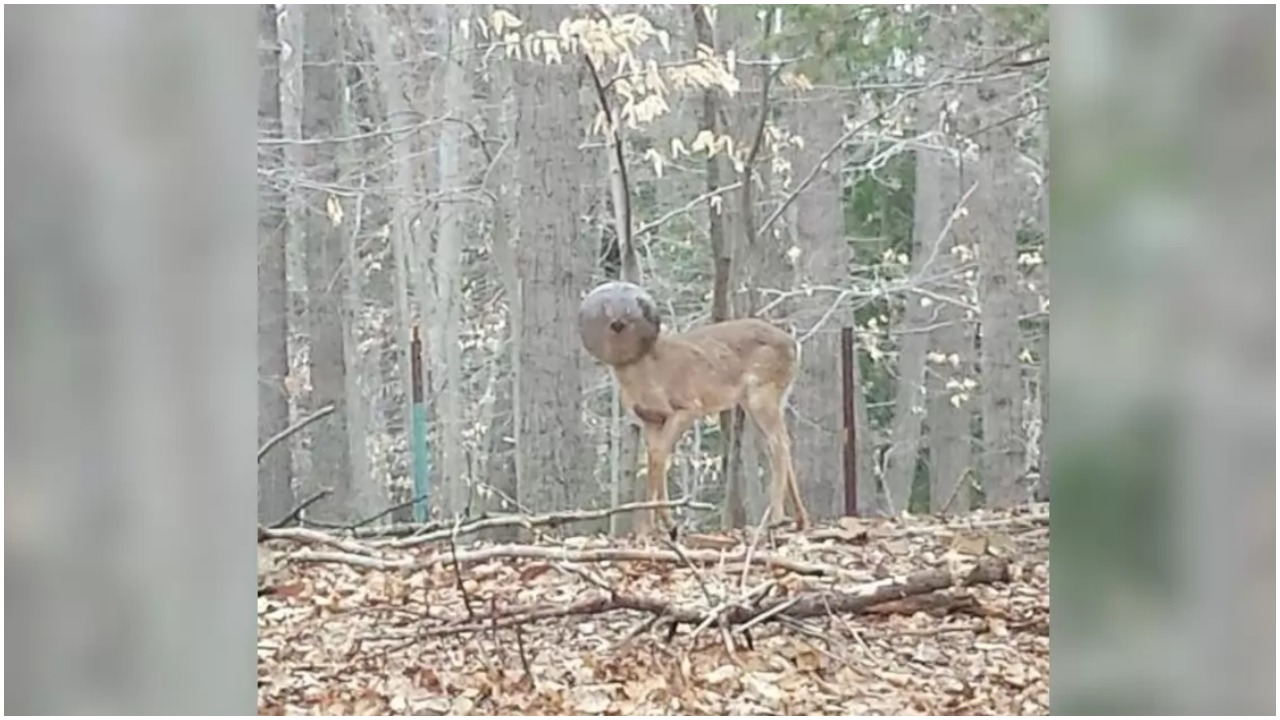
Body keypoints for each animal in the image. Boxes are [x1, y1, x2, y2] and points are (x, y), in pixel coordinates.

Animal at [581, 280, 808, 532]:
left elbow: (659, 456)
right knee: (778, 443)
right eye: (611, 312)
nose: (621, 321)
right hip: (765, 399)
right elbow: (656, 457)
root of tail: (794, 345)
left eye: (636, 308)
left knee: (779, 443)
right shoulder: (651, 420)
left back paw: (776, 519)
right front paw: (662, 524)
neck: (646, 374)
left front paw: (653, 525)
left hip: (762, 393)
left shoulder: (688, 407)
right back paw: (800, 520)